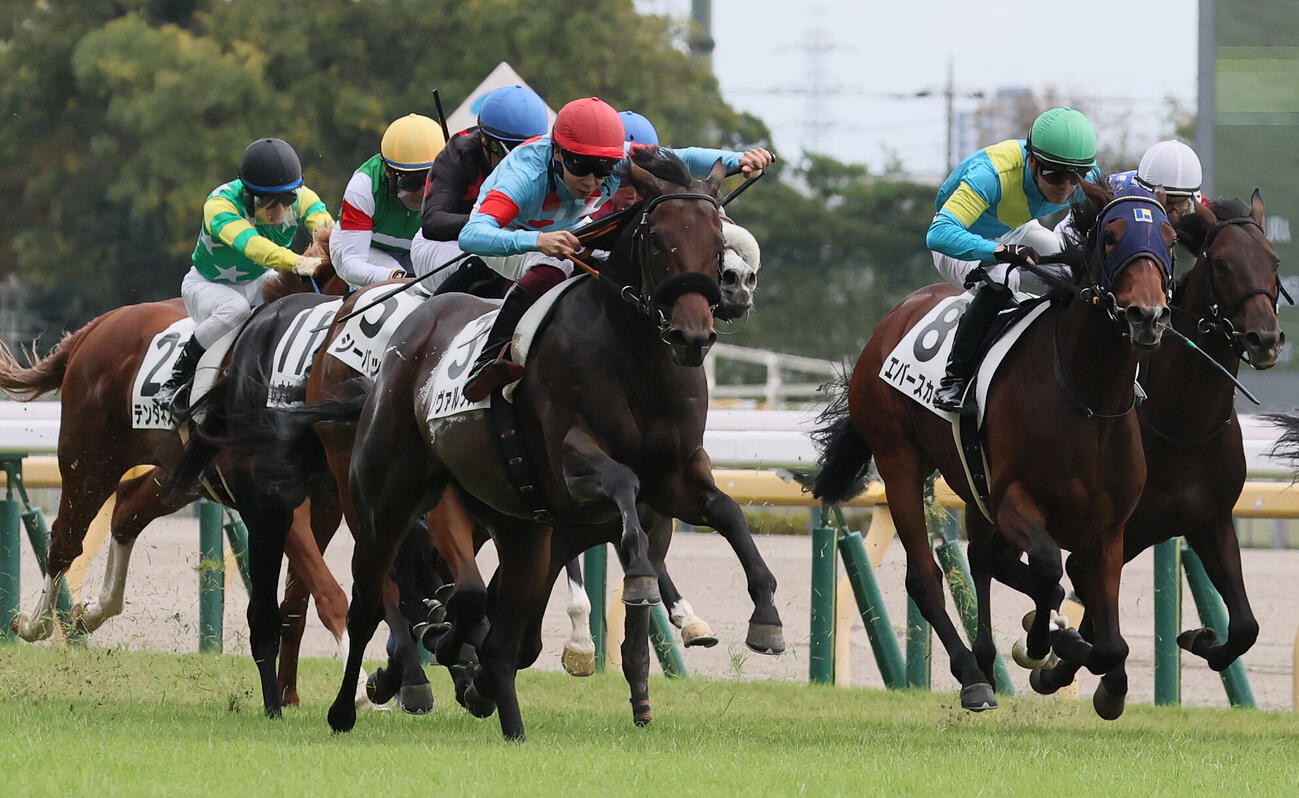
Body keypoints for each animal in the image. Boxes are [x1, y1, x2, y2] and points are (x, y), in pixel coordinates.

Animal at [0, 233, 365, 709]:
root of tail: (96, 327)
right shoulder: (271, 500)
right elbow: (326, 591)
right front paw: (361, 688)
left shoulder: (325, 504)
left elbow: (299, 598)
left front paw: (290, 693)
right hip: (90, 458)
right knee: (65, 541)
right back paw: (34, 623)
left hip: (178, 475)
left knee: (127, 511)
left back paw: (91, 613)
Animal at [811, 180, 1175, 719]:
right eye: (1111, 237)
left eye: (1170, 238)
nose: (1146, 317)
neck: (1086, 399)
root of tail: (894, 316)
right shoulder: (1014, 500)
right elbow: (1047, 567)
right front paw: (1044, 646)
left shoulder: (1108, 529)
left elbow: (1108, 640)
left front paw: (1098, 677)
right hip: (899, 461)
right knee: (927, 577)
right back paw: (973, 676)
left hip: (971, 485)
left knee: (982, 559)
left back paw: (989, 656)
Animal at [1028, 191, 1283, 694]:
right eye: (1221, 263)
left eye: (1274, 260)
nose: (1264, 338)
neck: (1183, 426)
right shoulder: (1117, 532)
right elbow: (1089, 602)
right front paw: (1063, 664)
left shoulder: (1211, 521)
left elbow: (1245, 626)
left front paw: (1200, 638)